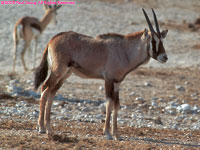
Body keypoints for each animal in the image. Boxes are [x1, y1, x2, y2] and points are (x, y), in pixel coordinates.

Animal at [34, 8, 167, 140]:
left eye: (162, 40)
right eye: (153, 40)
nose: (164, 57)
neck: (125, 50)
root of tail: (52, 39)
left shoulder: (117, 82)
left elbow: (117, 104)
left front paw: (117, 135)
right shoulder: (108, 79)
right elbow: (109, 103)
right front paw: (107, 133)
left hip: (65, 75)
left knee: (51, 92)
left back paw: (48, 128)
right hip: (58, 71)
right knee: (45, 88)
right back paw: (42, 128)